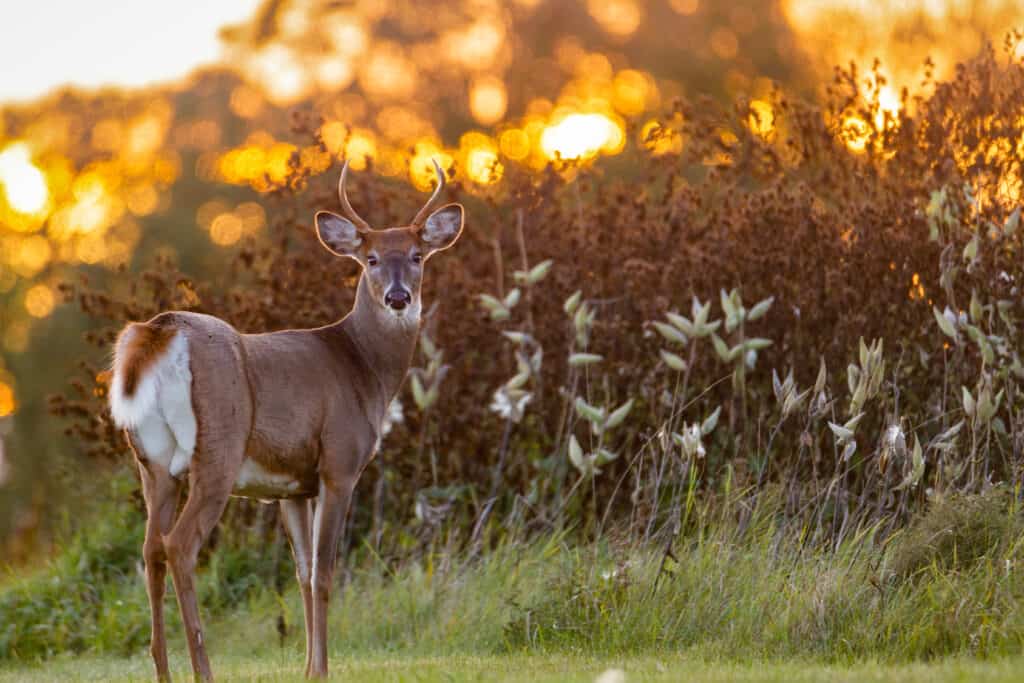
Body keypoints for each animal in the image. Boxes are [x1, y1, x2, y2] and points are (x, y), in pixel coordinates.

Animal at [107, 157, 460, 679]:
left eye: (418, 255)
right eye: (371, 259)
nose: (398, 298)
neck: (362, 367)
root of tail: (158, 332)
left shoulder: (292, 487)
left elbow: (303, 574)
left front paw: (309, 667)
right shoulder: (339, 464)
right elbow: (326, 572)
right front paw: (323, 669)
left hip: (152, 464)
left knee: (150, 550)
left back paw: (163, 670)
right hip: (217, 450)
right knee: (180, 546)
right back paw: (203, 669)